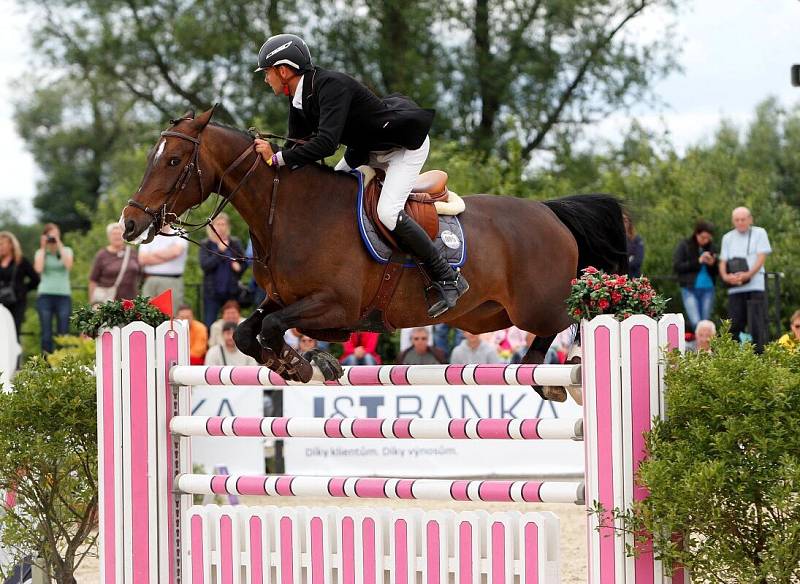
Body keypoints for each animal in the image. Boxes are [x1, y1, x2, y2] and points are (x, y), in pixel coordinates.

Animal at [122, 106, 628, 396]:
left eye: (173, 161)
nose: (129, 223)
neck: (285, 211)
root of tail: (550, 212)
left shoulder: (336, 306)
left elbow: (273, 327)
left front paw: (303, 362)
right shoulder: (283, 298)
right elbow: (250, 331)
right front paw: (300, 364)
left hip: (534, 306)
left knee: (569, 321)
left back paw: (548, 375)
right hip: (487, 315)